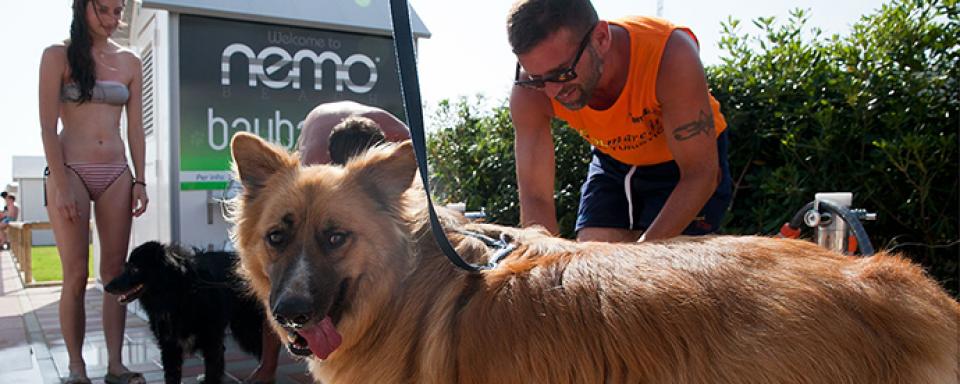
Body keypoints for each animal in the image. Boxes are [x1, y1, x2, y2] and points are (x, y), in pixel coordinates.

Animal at [105, 242, 264, 382]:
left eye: (135, 269)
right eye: (126, 267)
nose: (107, 287)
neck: (176, 296)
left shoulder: (210, 342)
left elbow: (212, 372)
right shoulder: (169, 347)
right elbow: (172, 377)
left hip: (246, 326)